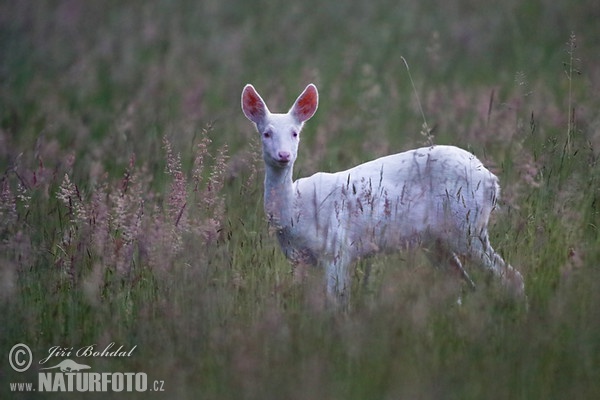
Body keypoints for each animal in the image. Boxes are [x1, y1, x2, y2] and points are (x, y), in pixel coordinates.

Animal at [241, 83, 524, 304]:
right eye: (266, 133)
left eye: (295, 133)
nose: (284, 155)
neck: (295, 209)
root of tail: (492, 181)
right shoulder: (300, 259)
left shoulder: (338, 247)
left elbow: (337, 304)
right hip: (439, 240)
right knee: (466, 283)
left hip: (467, 226)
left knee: (512, 276)